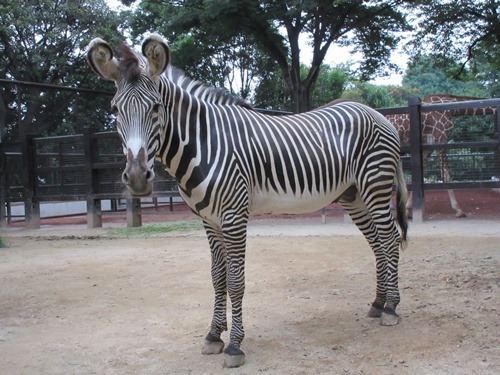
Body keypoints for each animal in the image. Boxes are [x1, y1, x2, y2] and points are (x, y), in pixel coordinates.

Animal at [87, 35, 406, 370]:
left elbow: (236, 280)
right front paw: (214, 335)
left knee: (390, 239)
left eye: (156, 107)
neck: (203, 142)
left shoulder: (234, 215)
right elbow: (217, 278)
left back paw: (391, 308)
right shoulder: (209, 220)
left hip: (376, 184)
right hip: (354, 196)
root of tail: (377, 114)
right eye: (115, 109)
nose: (137, 178)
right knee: (377, 244)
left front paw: (235, 345)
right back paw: (378, 303)